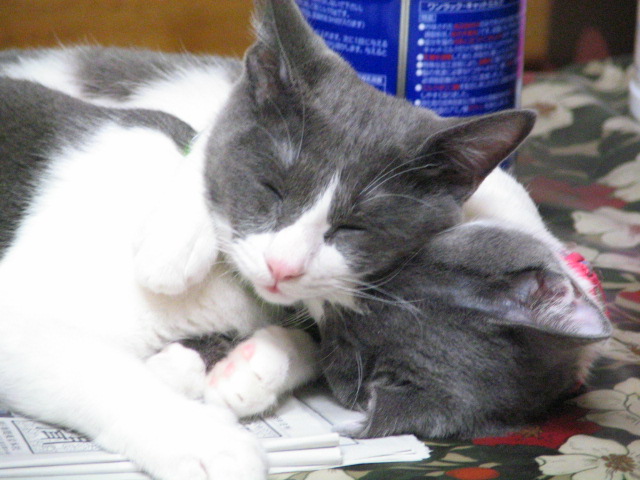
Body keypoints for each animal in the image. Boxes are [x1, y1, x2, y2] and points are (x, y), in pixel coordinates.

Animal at [0, 1, 535, 479]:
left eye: (354, 227)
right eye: (271, 189)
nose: (283, 266)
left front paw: (239, 370)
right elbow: (100, 370)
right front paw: (209, 444)